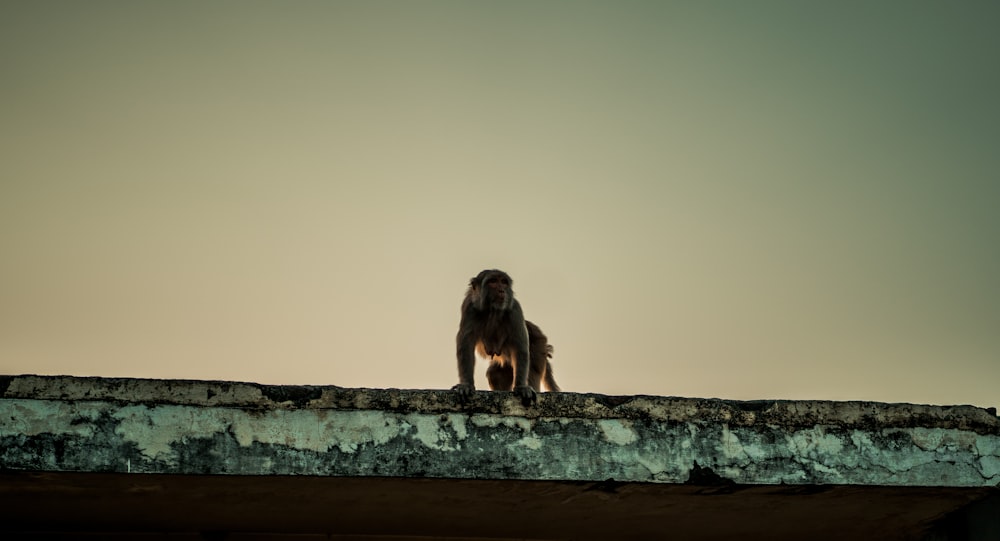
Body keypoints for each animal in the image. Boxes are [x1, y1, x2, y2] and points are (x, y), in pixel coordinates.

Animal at [456, 268, 564, 402]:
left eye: (503, 282)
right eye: (493, 281)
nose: (501, 290)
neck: (493, 310)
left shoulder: (515, 309)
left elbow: (520, 347)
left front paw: (521, 387)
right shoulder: (469, 307)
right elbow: (466, 346)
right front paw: (467, 385)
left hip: (539, 344)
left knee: (532, 366)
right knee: (495, 374)